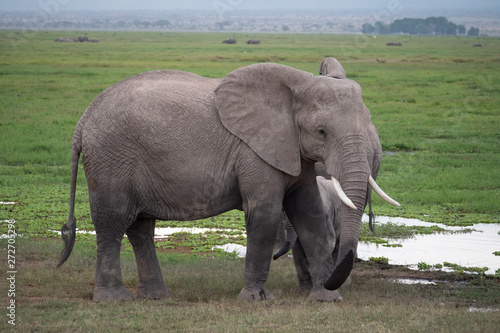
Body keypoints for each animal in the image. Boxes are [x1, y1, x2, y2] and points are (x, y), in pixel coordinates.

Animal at [56, 61, 398, 302]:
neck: (297, 85)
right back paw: (115, 300)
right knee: (113, 222)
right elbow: (265, 213)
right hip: (110, 159)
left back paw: (157, 297)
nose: (332, 281)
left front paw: (327, 298)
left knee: (141, 227)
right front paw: (256, 299)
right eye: (321, 132)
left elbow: (309, 213)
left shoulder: (291, 150)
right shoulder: (255, 151)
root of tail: (82, 121)